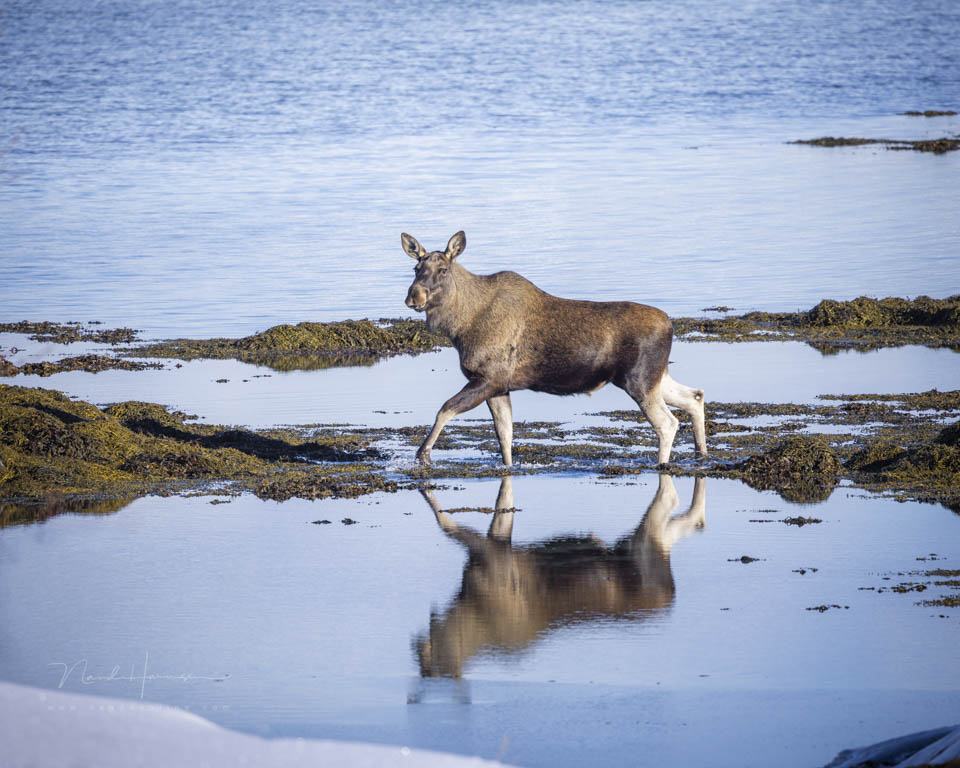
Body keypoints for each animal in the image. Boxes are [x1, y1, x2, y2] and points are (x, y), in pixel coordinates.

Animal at [402, 231, 708, 464]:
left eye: (443, 270)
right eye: (416, 269)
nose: (414, 297)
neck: (460, 326)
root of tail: (669, 326)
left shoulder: (488, 379)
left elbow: (445, 410)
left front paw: (423, 454)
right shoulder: (499, 386)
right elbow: (505, 437)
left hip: (639, 381)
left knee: (667, 423)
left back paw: (662, 465)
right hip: (654, 377)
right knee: (695, 396)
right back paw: (701, 454)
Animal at [414, 474, 704, 680]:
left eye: (439, 660)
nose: (417, 648)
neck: (466, 608)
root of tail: (670, 590)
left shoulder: (491, 556)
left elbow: (446, 524)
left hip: (641, 543)